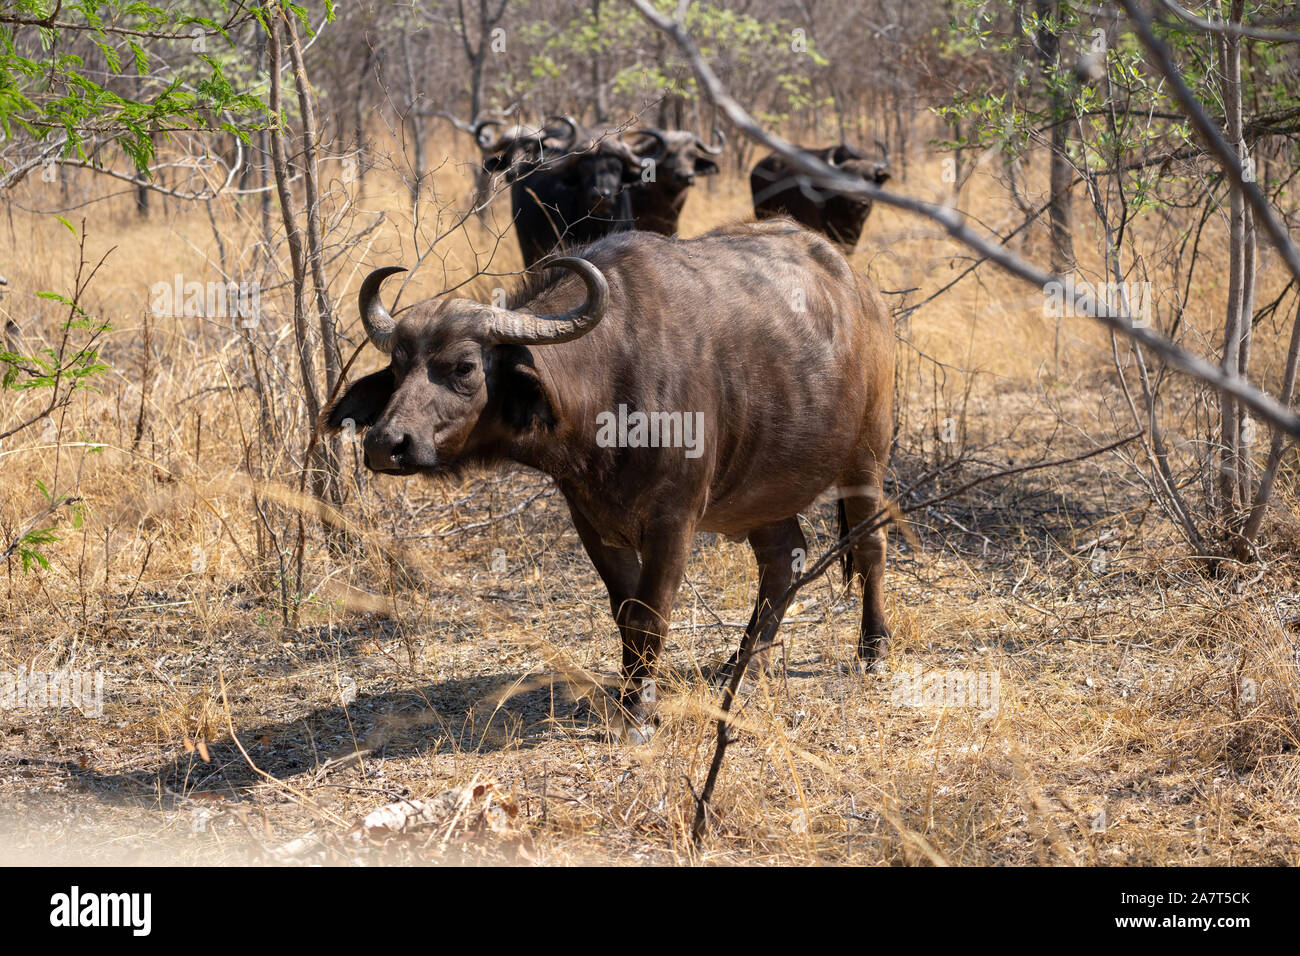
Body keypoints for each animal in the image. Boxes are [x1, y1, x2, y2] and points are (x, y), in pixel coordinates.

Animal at [325, 221, 894, 743]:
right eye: (397, 367)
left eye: (464, 366)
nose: (384, 444)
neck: (610, 390)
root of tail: (860, 292)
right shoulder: (591, 521)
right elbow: (625, 612)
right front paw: (629, 697)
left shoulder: (673, 521)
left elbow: (650, 614)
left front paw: (639, 713)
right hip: (762, 495)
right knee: (782, 560)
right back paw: (744, 665)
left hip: (867, 457)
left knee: (870, 546)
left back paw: (873, 649)